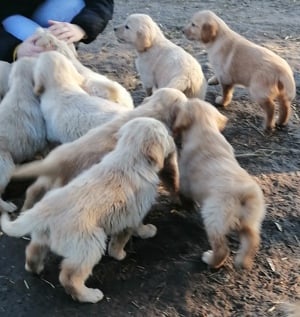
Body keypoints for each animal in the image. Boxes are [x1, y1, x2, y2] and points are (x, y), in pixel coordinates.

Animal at [1, 115, 179, 302]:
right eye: (166, 134)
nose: (174, 140)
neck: (130, 157)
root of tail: (43, 210)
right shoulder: (133, 214)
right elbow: (126, 235)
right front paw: (125, 248)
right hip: (90, 243)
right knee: (69, 276)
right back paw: (89, 295)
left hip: (43, 236)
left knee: (33, 251)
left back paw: (35, 269)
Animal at [13, 87, 188, 210]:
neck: (154, 109)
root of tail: (58, 164)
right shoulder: (166, 154)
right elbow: (172, 176)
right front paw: (179, 200)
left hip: (46, 177)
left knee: (33, 189)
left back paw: (25, 208)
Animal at [172, 99, 266, 270]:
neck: (205, 129)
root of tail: (244, 193)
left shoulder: (185, 180)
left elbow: (183, 193)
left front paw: (185, 205)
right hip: (251, 221)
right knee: (252, 240)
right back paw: (243, 261)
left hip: (214, 218)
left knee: (222, 248)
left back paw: (210, 259)